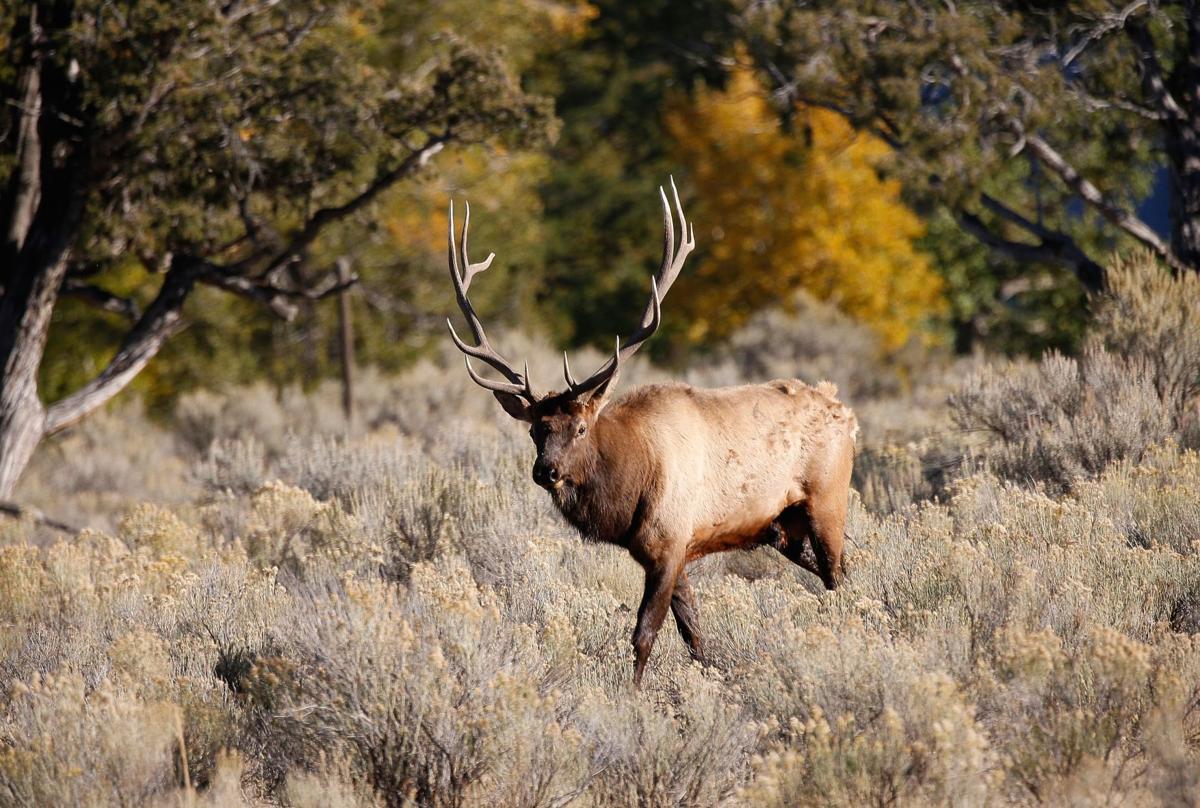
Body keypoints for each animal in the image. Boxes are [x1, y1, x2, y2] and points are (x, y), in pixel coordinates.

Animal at [446, 180, 858, 685]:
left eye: (581, 427)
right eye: (536, 431)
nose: (547, 471)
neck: (628, 492)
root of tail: (846, 413)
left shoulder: (669, 541)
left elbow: (644, 633)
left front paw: (634, 695)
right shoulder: (666, 551)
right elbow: (693, 633)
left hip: (827, 500)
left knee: (837, 576)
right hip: (784, 527)